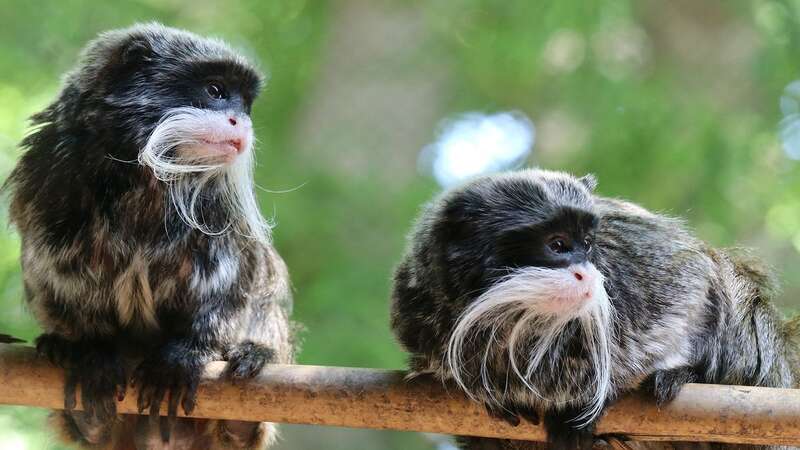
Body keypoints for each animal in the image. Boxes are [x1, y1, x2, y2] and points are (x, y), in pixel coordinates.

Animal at [390, 170, 796, 450]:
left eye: (587, 243)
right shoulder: (418, 312)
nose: (587, 273)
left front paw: (604, 394)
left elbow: (689, 277)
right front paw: (489, 397)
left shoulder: (630, 259)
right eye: (557, 245)